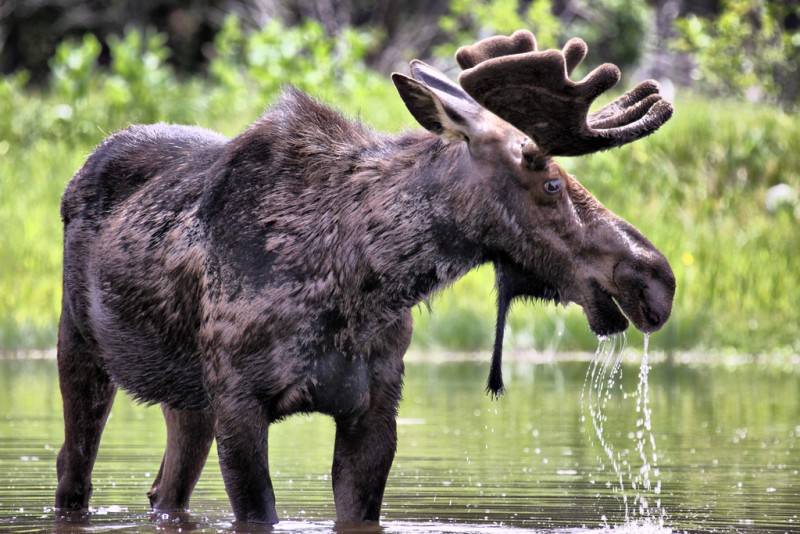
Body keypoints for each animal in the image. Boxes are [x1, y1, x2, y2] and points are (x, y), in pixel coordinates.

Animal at [54, 30, 676, 528]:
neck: (356, 283)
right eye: (549, 181)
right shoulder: (238, 399)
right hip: (81, 345)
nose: (656, 277)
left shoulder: (375, 404)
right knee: (72, 470)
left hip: (186, 399)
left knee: (165, 490)